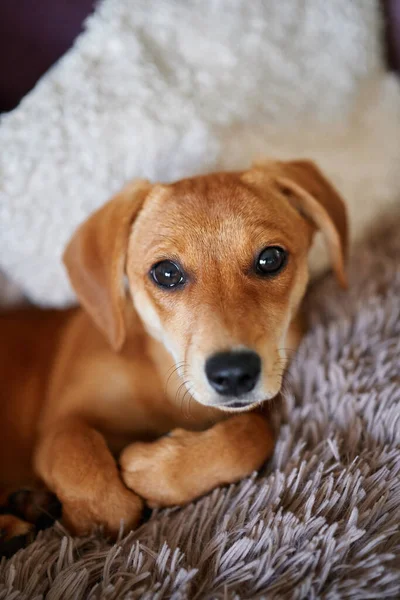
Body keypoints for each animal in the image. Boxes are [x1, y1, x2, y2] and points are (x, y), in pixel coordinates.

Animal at [0, 159, 346, 540]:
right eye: (166, 272)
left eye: (270, 259)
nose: (233, 374)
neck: (167, 385)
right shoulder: (59, 425)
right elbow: (91, 475)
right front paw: (89, 516)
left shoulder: (254, 414)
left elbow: (251, 435)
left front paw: (153, 470)